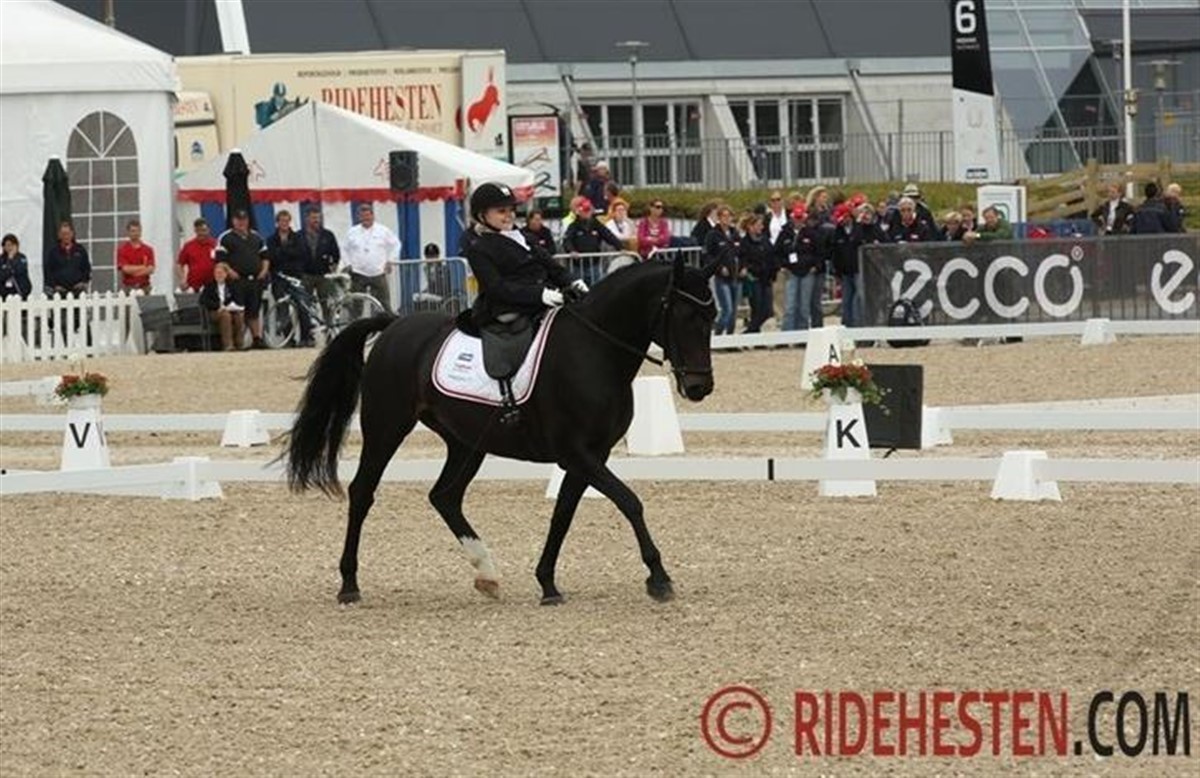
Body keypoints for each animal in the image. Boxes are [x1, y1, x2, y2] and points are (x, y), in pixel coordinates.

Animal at [284, 254, 718, 605]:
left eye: (711, 318)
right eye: (684, 316)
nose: (700, 387)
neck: (595, 350)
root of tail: (394, 326)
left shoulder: (591, 455)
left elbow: (563, 514)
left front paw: (548, 584)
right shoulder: (577, 452)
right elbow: (629, 501)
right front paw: (659, 578)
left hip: (466, 443)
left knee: (445, 496)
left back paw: (487, 573)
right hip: (387, 426)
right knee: (363, 492)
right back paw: (349, 585)